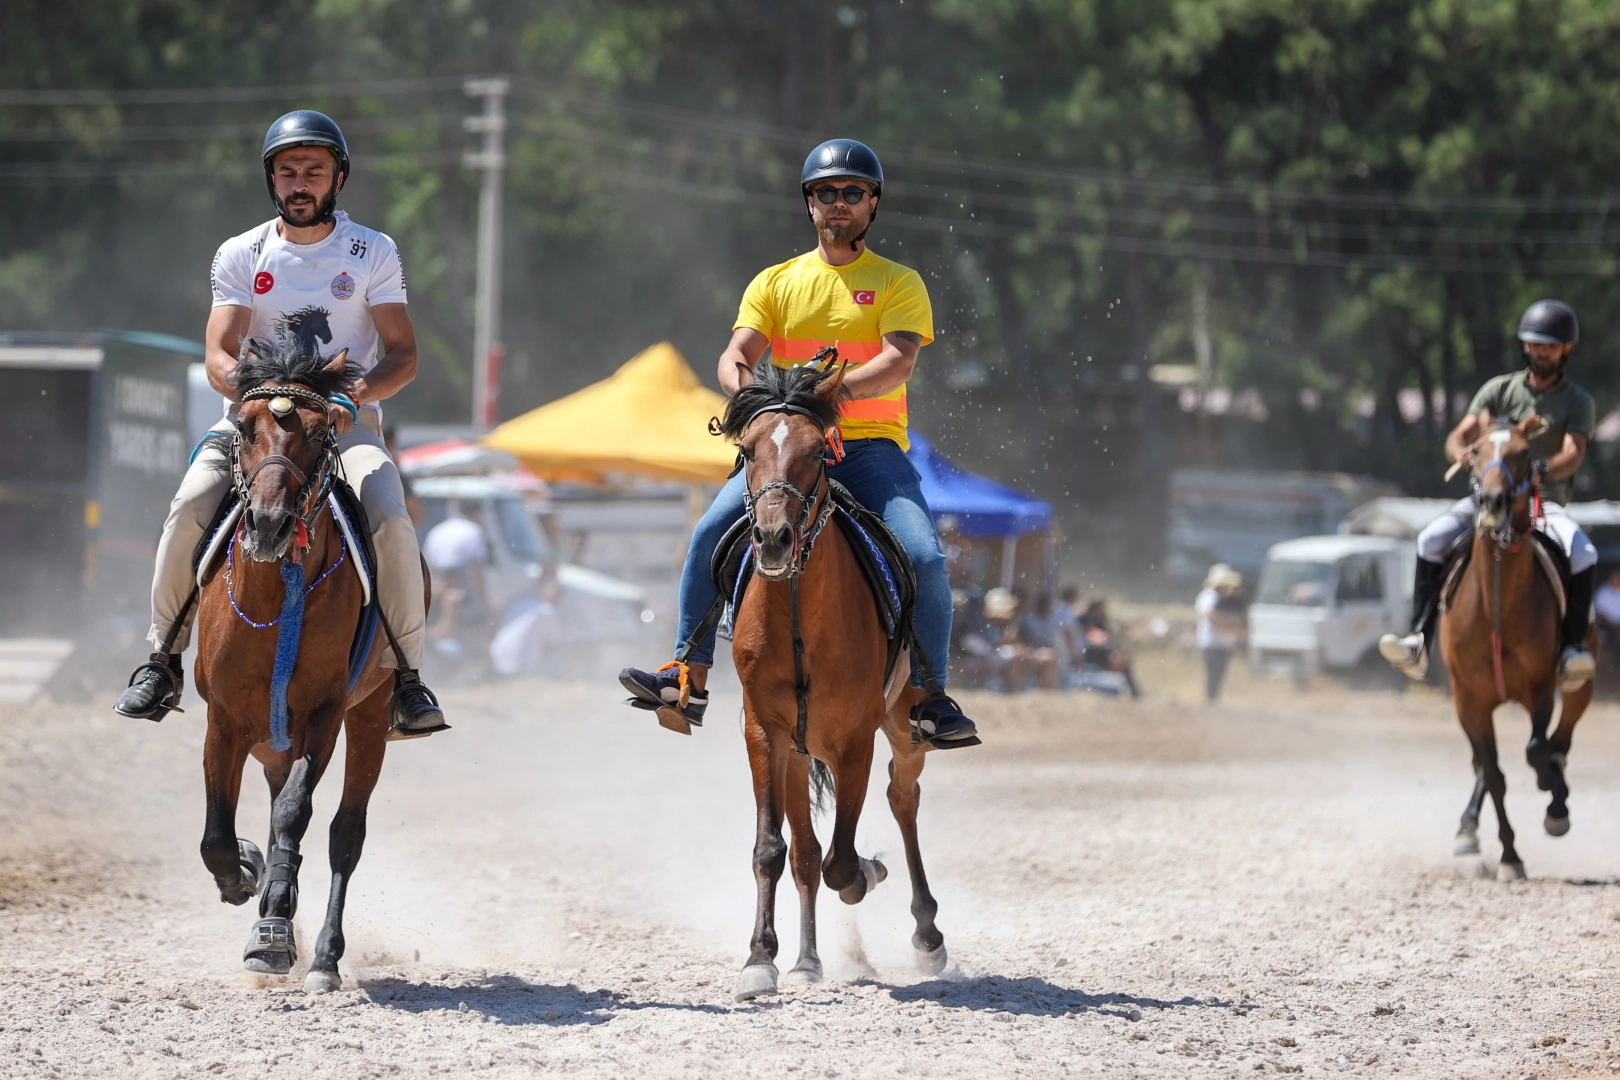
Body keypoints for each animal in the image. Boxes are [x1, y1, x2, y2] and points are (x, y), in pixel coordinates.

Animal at [189, 341, 421, 990]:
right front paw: (246, 876)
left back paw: (320, 957)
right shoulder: (224, 720)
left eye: (320, 435)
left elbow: (297, 815)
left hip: (367, 717)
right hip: (273, 740)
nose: (269, 522)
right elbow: (218, 836)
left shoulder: (324, 714)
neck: (277, 591)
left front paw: (272, 934)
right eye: (245, 428)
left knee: (344, 833)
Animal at [719, 362, 946, 1003]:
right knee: (804, 852)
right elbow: (774, 850)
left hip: (905, 726)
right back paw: (807, 960)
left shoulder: (854, 742)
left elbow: (844, 863)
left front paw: (869, 871)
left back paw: (927, 934)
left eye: (818, 450)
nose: (773, 538)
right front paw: (760, 960)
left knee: (902, 798)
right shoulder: (763, 734)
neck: (799, 616)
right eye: (746, 450)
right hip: (798, 755)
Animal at [1445, 417, 1594, 880]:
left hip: (1580, 683)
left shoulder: (1540, 688)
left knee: (1559, 740)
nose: (1493, 500)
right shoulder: (1468, 700)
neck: (1496, 604)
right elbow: (1494, 774)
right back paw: (1467, 828)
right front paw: (1510, 855)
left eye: (1525, 454)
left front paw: (1555, 801)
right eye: (1475, 451)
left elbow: (1535, 749)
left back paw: (1555, 793)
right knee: (1484, 764)